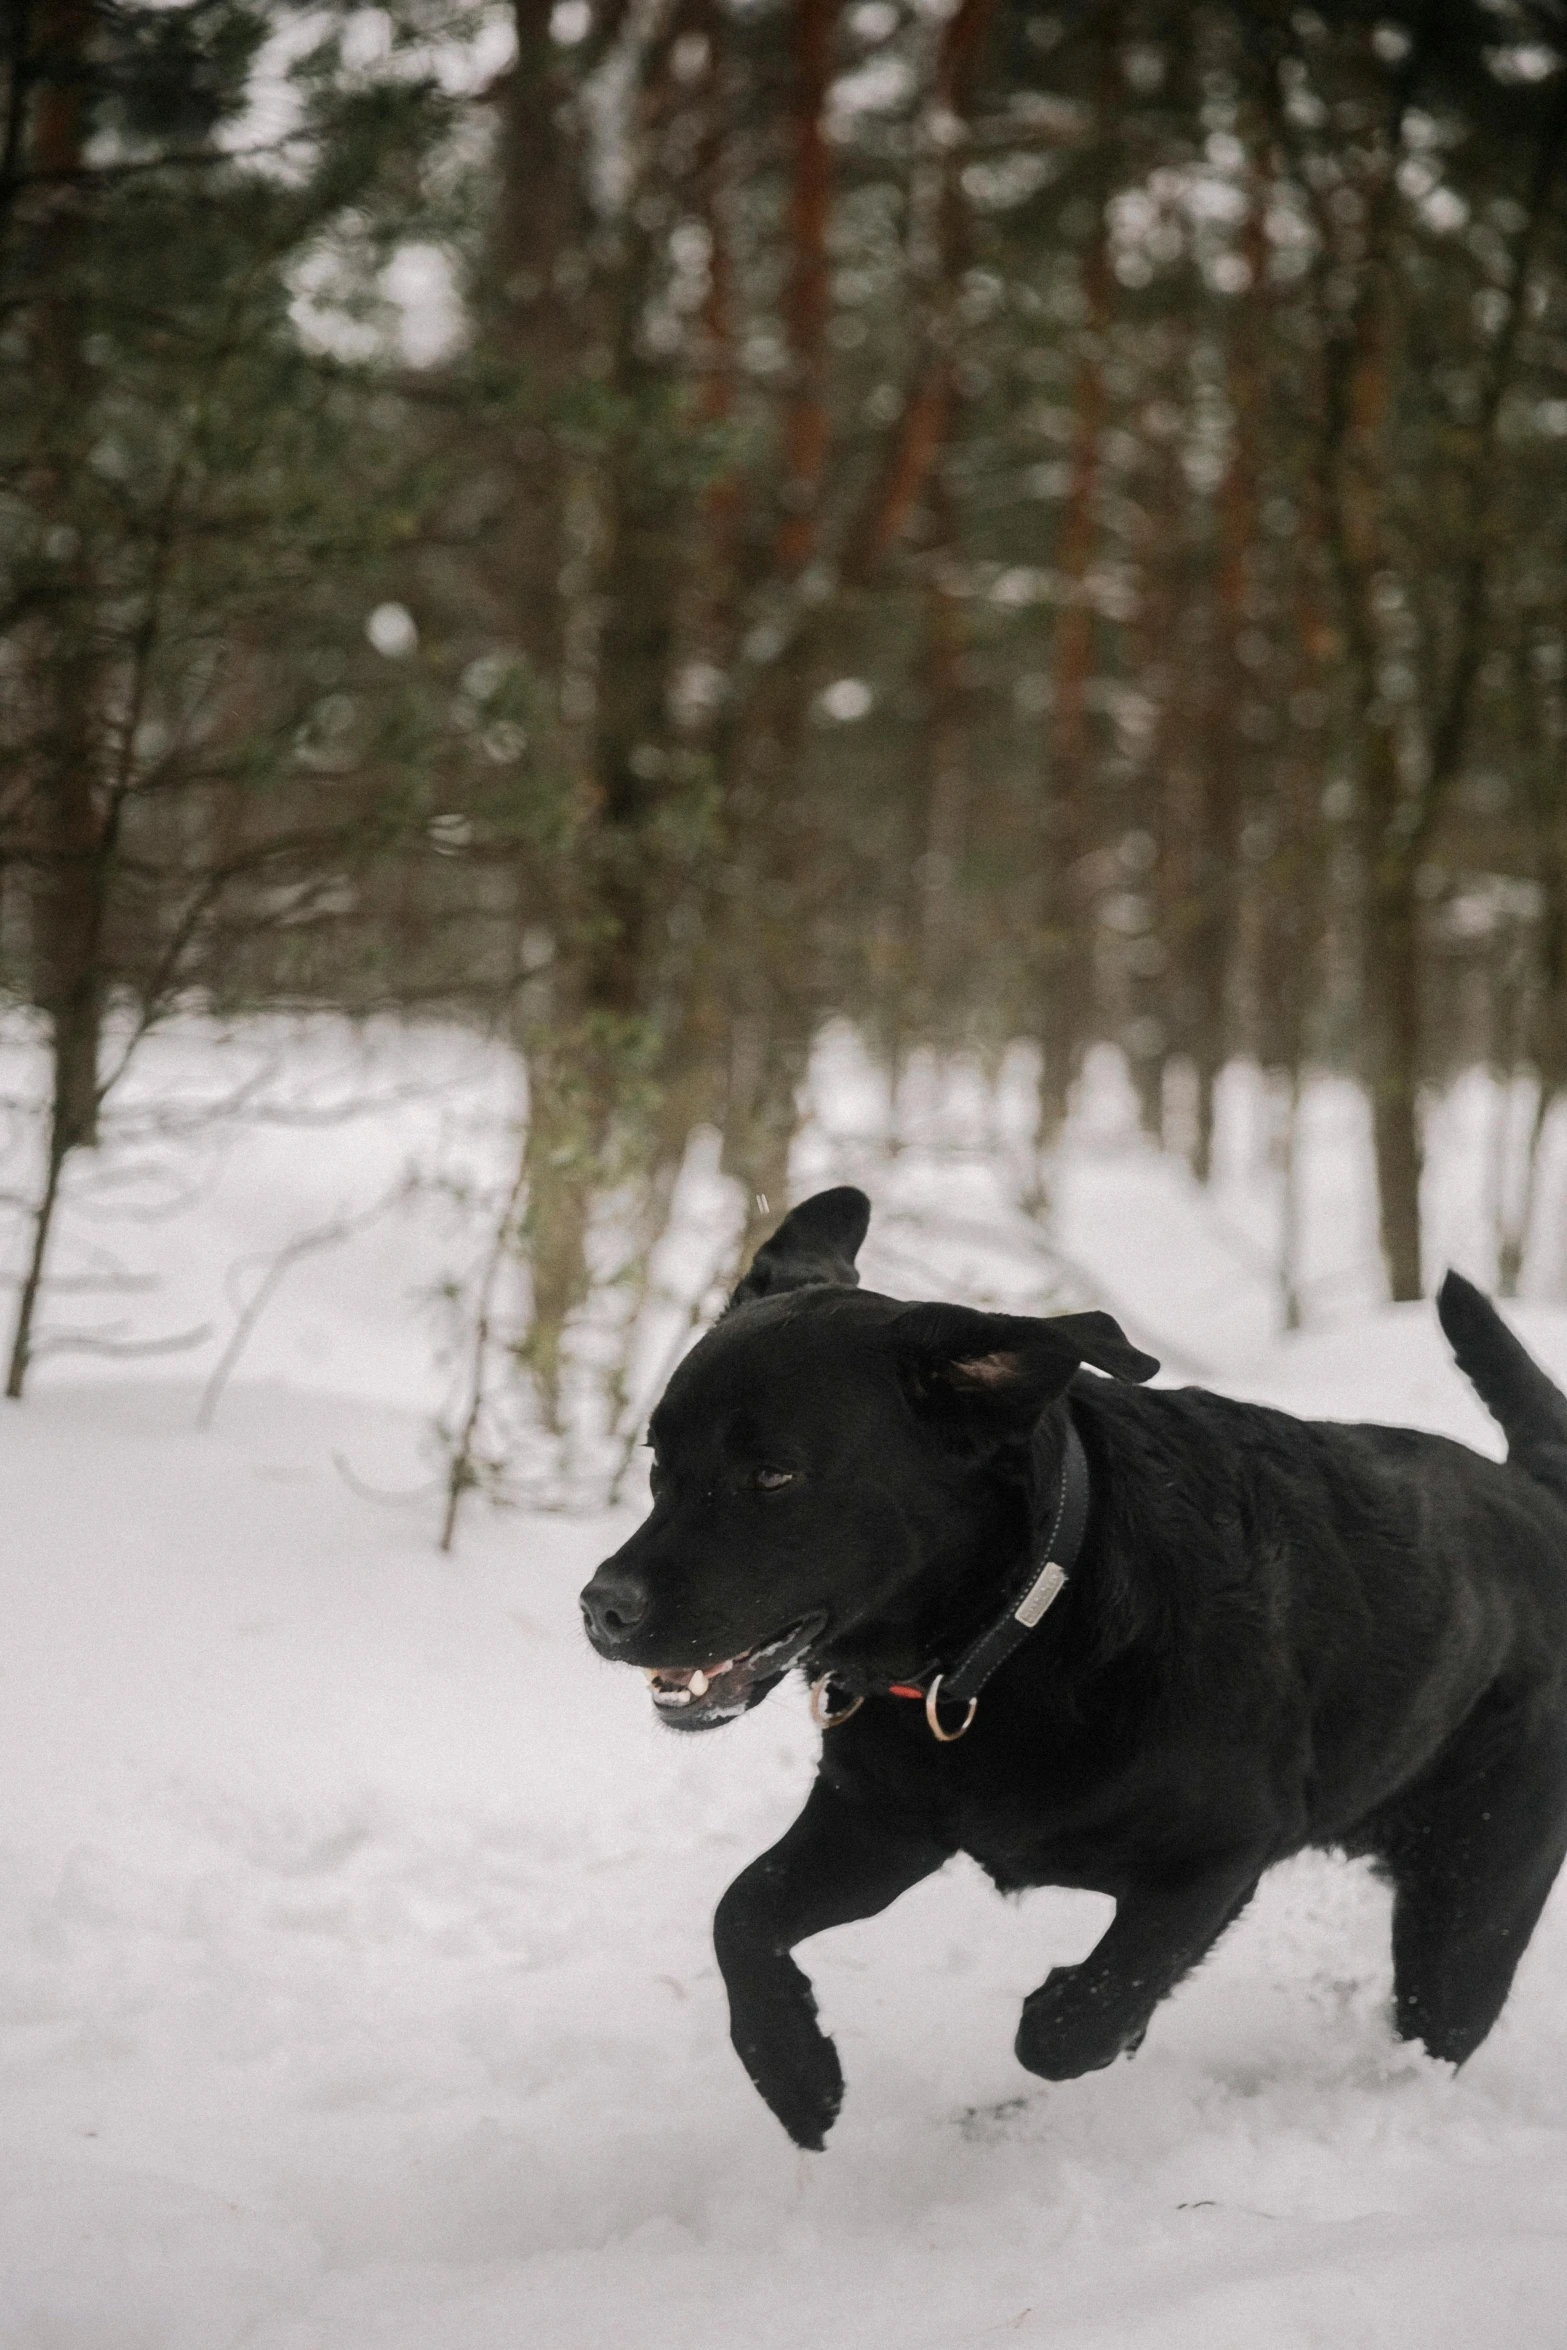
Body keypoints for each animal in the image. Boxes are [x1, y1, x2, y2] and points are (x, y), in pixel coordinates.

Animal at [584, 1193, 1567, 2152]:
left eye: (773, 1475)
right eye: (658, 1460)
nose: (602, 1608)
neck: (1014, 1632)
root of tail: (1538, 1494)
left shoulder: (1220, 1854)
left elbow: (1074, 2020)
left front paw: (1058, 2029)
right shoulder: (881, 1825)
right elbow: (739, 1916)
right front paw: (795, 2077)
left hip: (1473, 1903)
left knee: (1432, 2035)